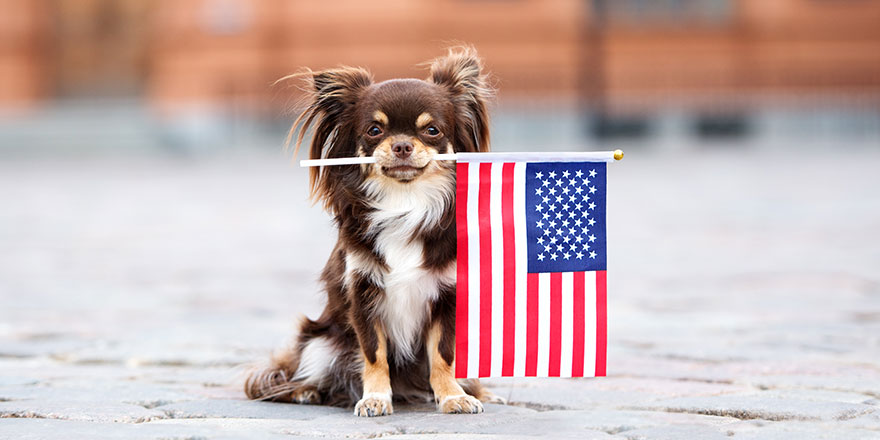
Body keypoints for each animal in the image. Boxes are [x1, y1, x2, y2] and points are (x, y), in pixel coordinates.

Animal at [244, 48, 502, 416]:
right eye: (375, 130)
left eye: (432, 130)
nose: (402, 146)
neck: (405, 202)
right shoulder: (363, 295)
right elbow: (374, 353)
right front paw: (375, 398)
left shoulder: (447, 297)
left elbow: (443, 355)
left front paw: (453, 396)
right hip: (320, 341)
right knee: (300, 372)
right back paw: (306, 391)